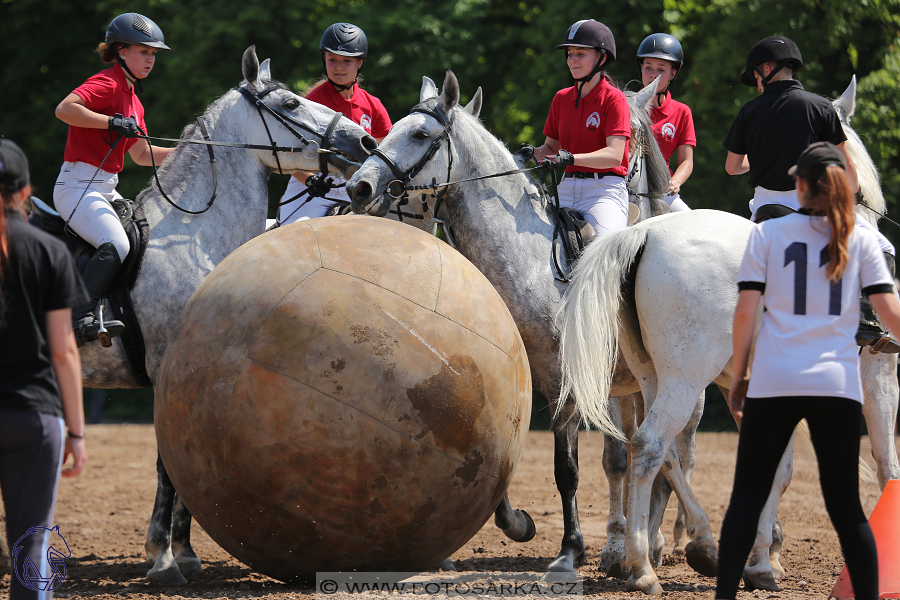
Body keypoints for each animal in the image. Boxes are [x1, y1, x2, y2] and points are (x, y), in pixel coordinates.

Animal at [59, 47, 376, 584]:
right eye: (290, 103)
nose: (366, 140)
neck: (194, 235)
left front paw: (184, 552)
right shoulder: (166, 369)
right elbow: (168, 464)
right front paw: (163, 559)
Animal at [344, 70, 716, 584]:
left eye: (420, 135)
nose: (358, 188)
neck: (532, 266)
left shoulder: (566, 385)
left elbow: (568, 470)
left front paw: (569, 552)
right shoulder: (523, 378)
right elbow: (497, 462)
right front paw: (519, 523)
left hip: (684, 384)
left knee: (675, 453)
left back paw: (668, 544)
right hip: (638, 385)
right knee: (652, 456)